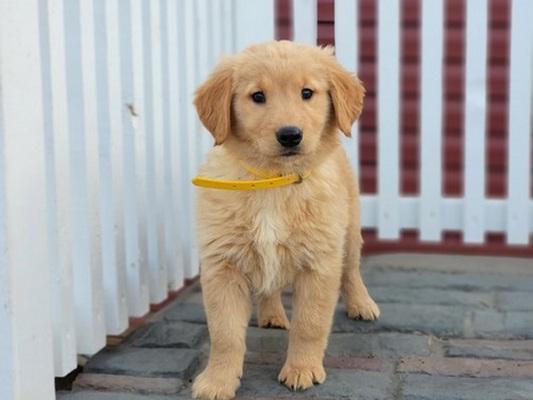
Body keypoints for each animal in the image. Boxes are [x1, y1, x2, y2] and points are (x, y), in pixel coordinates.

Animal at [191, 41, 378, 400]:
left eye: (307, 93)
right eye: (257, 96)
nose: (290, 135)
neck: (272, 181)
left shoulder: (320, 263)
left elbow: (309, 324)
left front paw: (302, 369)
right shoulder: (223, 265)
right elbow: (225, 334)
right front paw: (217, 381)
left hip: (349, 234)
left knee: (352, 272)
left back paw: (362, 304)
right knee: (270, 287)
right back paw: (272, 315)